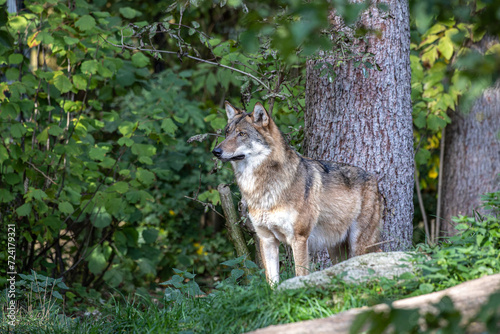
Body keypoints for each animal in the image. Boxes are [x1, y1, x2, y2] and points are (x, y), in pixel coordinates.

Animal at [211, 102, 382, 284]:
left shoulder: (299, 239)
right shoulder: (267, 240)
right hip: (336, 248)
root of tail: (372, 176)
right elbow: (272, 283)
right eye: (227, 132)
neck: (263, 189)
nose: (215, 151)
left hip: (360, 243)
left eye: (242, 134)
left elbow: (300, 275)